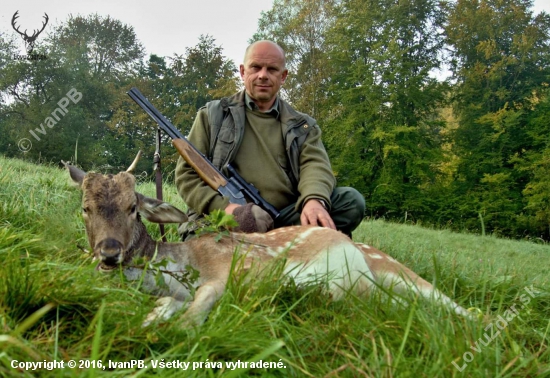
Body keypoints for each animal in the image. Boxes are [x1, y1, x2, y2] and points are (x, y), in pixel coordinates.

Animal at [63, 155, 470, 326]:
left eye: (133, 207)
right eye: (85, 208)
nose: (109, 253)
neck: (179, 267)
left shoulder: (226, 271)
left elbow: (191, 317)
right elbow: (158, 313)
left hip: (396, 271)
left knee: (459, 307)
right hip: (371, 291)